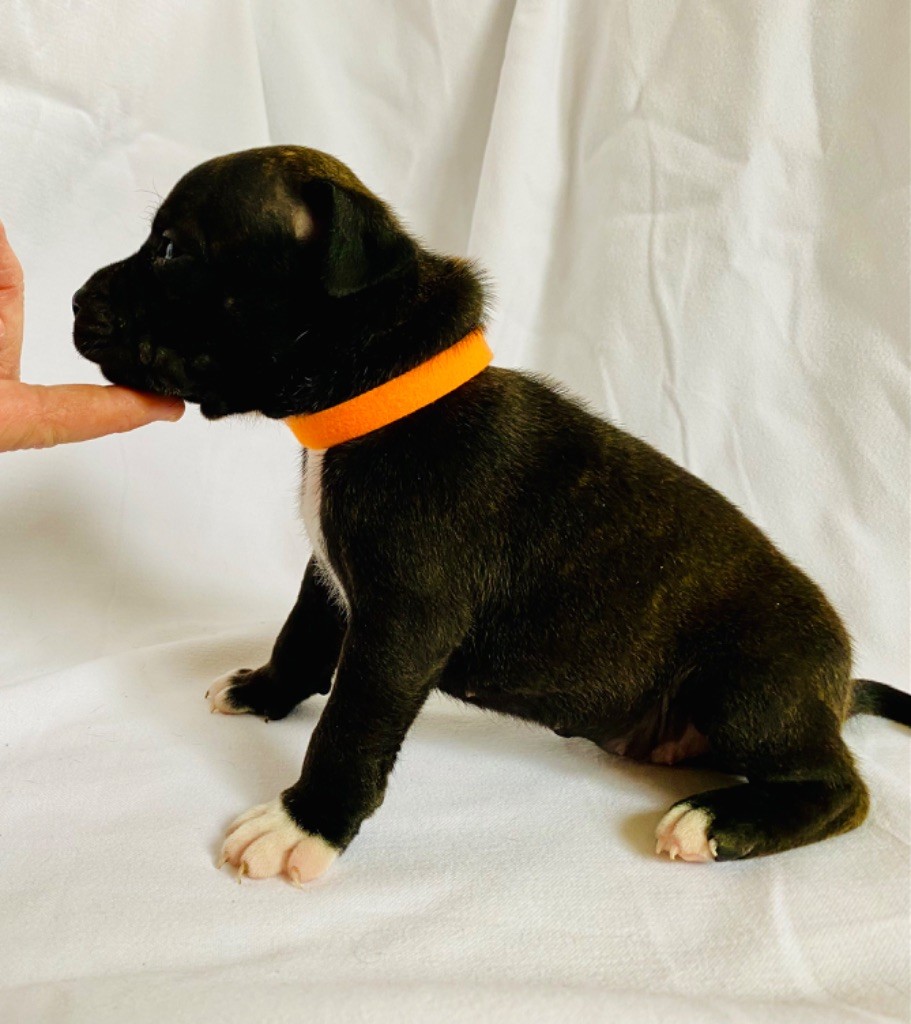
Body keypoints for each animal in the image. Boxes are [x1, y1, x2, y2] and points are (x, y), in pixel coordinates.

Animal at [73, 145, 909, 884]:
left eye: (171, 250)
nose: (76, 300)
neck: (378, 389)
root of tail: (836, 691)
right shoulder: (330, 575)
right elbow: (301, 635)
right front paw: (264, 691)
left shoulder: (402, 624)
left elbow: (349, 728)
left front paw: (304, 823)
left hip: (747, 686)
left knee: (843, 791)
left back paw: (718, 820)